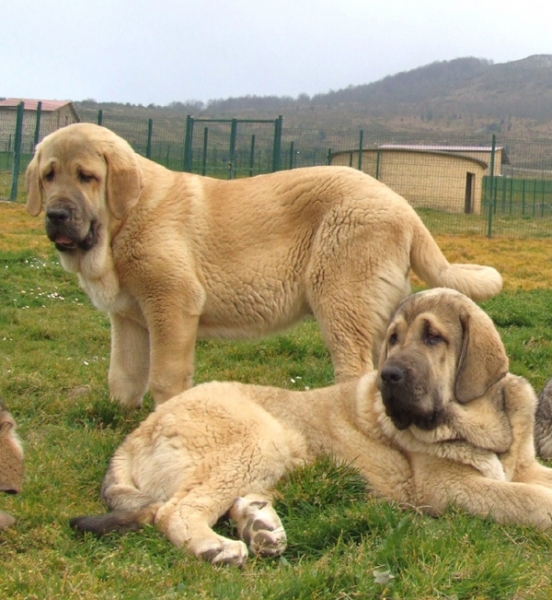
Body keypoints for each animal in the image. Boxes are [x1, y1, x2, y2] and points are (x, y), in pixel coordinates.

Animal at [24, 125, 500, 410]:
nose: (57, 215)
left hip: (340, 301)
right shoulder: (128, 319)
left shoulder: (172, 305)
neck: (122, 222)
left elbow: (164, 376)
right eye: (49, 175)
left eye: (87, 176)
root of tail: (403, 206)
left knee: (355, 372)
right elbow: (122, 376)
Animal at [70, 290, 552, 568]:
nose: (388, 376)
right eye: (393, 339)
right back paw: (218, 547)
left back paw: (259, 526)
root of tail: (133, 437)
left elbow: (533, 481)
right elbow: (523, 498)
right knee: (176, 510)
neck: (486, 422)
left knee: (224, 499)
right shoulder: (448, 488)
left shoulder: (524, 467)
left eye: (434, 338)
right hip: (259, 436)